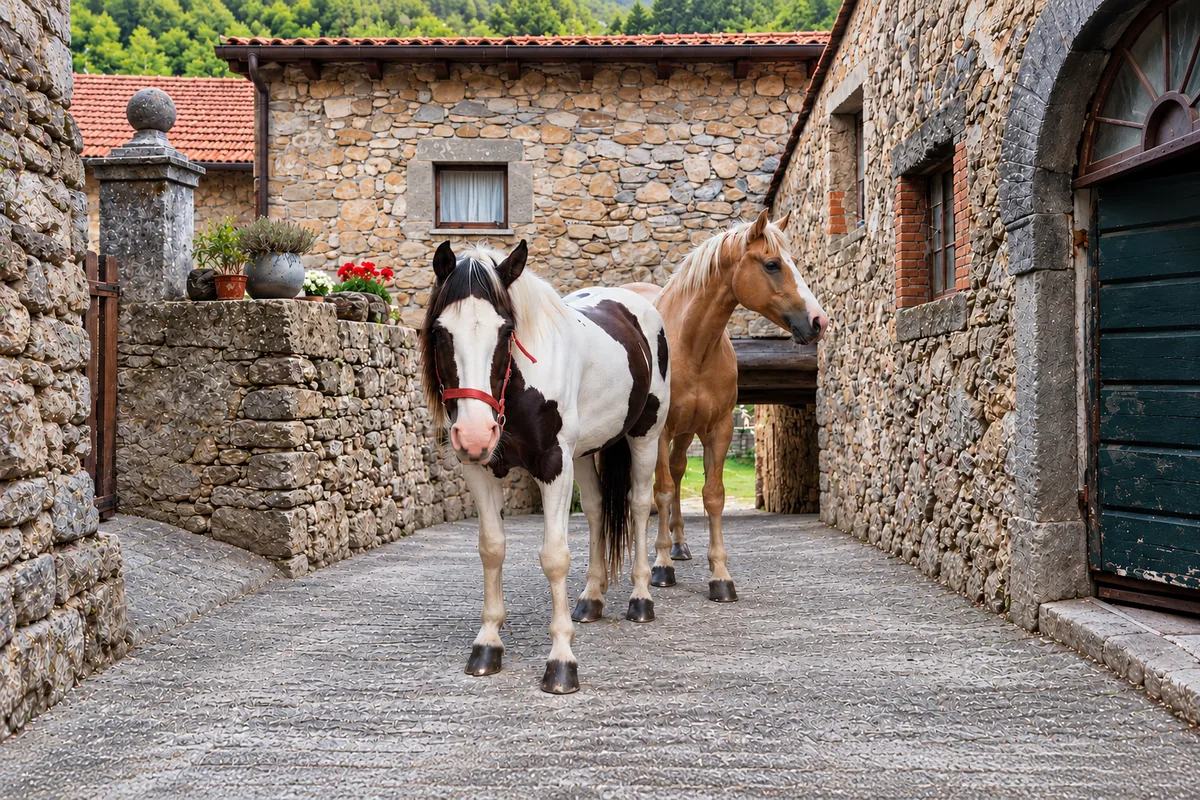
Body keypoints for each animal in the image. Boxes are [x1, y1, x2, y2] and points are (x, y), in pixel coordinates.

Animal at [420, 240, 670, 695]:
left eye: (506, 331)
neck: (519, 388)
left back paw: (641, 598)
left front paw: (561, 662)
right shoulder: (480, 470)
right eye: (440, 332)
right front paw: (487, 645)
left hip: (646, 436)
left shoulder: (554, 466)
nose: (475, 434)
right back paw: (591, 599)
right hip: (585, 453)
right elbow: (492, 548)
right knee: (595, 510)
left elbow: (554, 556)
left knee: (641, 505)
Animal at [625, 209, 828, 603]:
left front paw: (720, 575)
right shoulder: (660, 432)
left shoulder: (718, 429)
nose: (818, 321)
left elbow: (712, 496)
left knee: (676, 470)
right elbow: (662, 491)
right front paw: (660, 567)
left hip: (686, 433)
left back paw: (680, 545)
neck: (691, 345)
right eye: (772, 264)